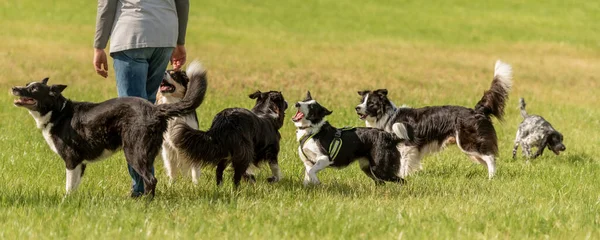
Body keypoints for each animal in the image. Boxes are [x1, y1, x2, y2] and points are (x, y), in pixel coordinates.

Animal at [9, 60, 209, 197]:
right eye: (27, 84)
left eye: (34, 89)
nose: (13, 88)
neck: (58, 112)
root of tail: (154, 109)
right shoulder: (80, 164)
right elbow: (74, 187)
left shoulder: (71, 160)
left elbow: (68, 186)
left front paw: (65, 202)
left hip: (134, 152)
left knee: (151, 179)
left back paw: (145, 203)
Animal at [354, 60, 512, 180]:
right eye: (362, 101)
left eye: (371, 103)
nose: (356, 108)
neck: (388, 117)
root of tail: (476, 110)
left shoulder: (407, 147)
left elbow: (403, 165)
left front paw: (402, 177)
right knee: (487, 158)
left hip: (468, 143)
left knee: (490, 158)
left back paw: (491, 178)